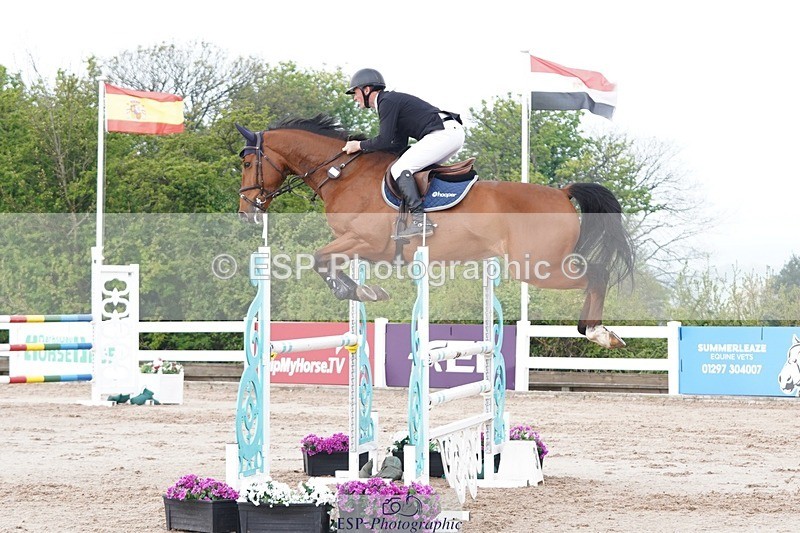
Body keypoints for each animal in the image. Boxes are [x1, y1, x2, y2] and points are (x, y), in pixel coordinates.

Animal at [236, 115, 634, 349]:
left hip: (537, 266)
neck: (343, 174)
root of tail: (562, 192)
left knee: (597, 274)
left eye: (247, 162)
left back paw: (599, 333)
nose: (245, 212)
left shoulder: (365, 241)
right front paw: (363, 289)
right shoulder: (363, 248)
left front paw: (356, 290)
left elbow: (318, 259)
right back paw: (593, 331)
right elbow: (327, 262)